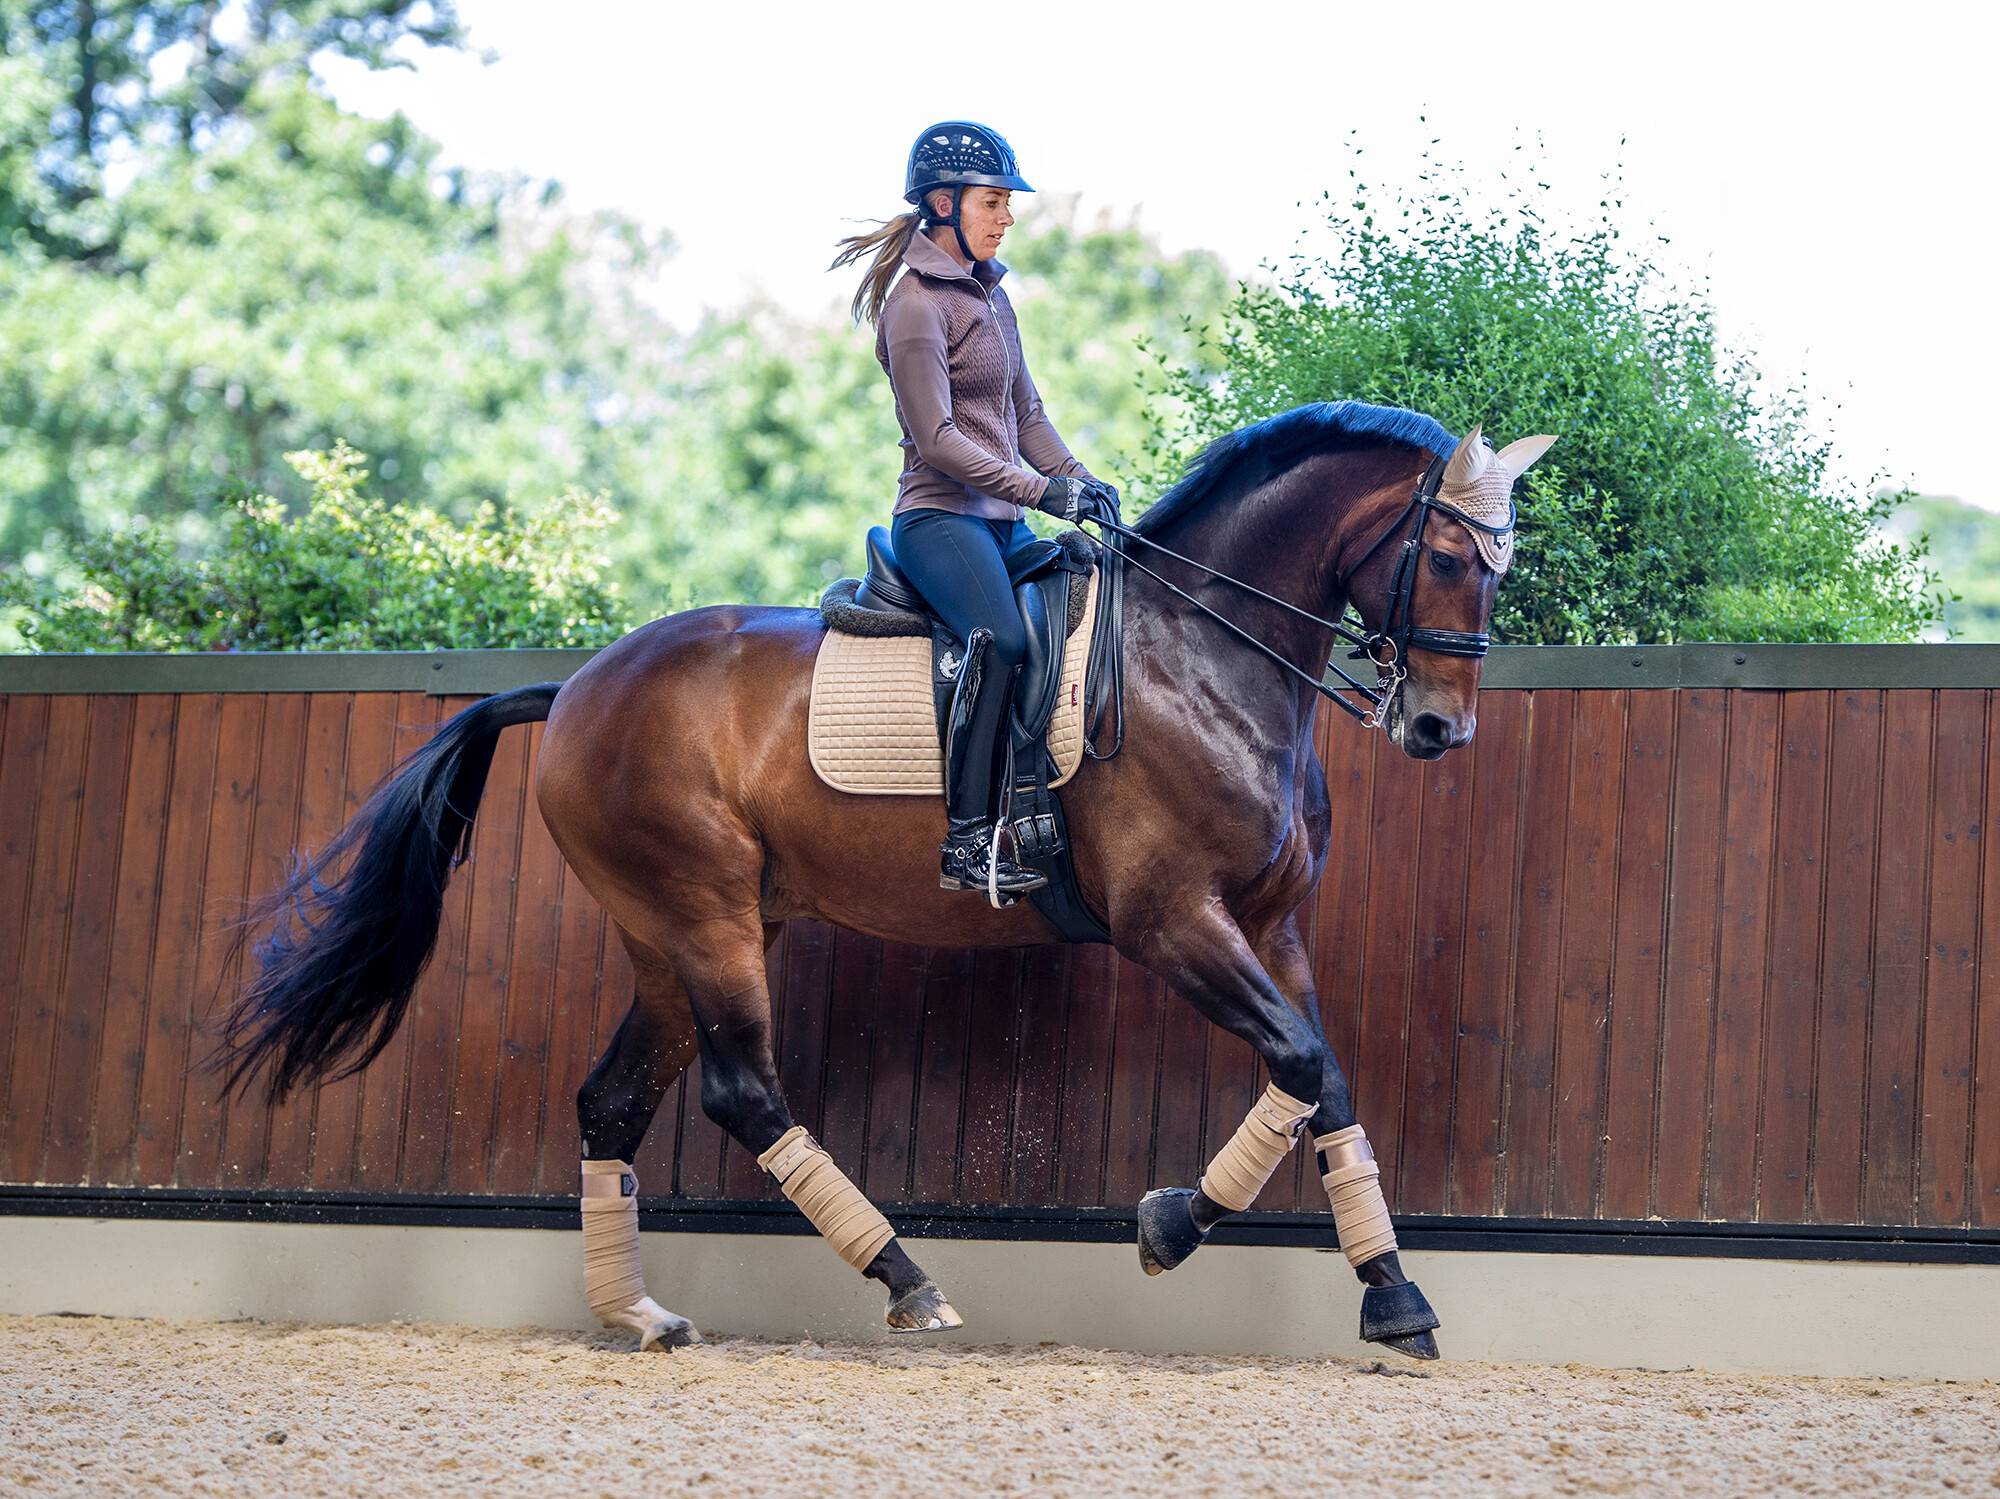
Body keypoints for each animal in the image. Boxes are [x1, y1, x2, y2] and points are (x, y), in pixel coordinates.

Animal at [223, 405, 1560, 1367]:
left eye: (1502, 562)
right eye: (1449, 552)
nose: (1437, 727)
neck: (1201, 654)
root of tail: (577, 687)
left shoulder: (1272, 926)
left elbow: (1321, 1076)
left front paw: (1392, 1296)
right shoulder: (1170, 919)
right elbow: (1293, 1060)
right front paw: (1170, 1227)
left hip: (670, 933)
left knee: (613, 1101)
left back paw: (640, 1316)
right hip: (705, 916)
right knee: (741, 1089)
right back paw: (906, 1278)